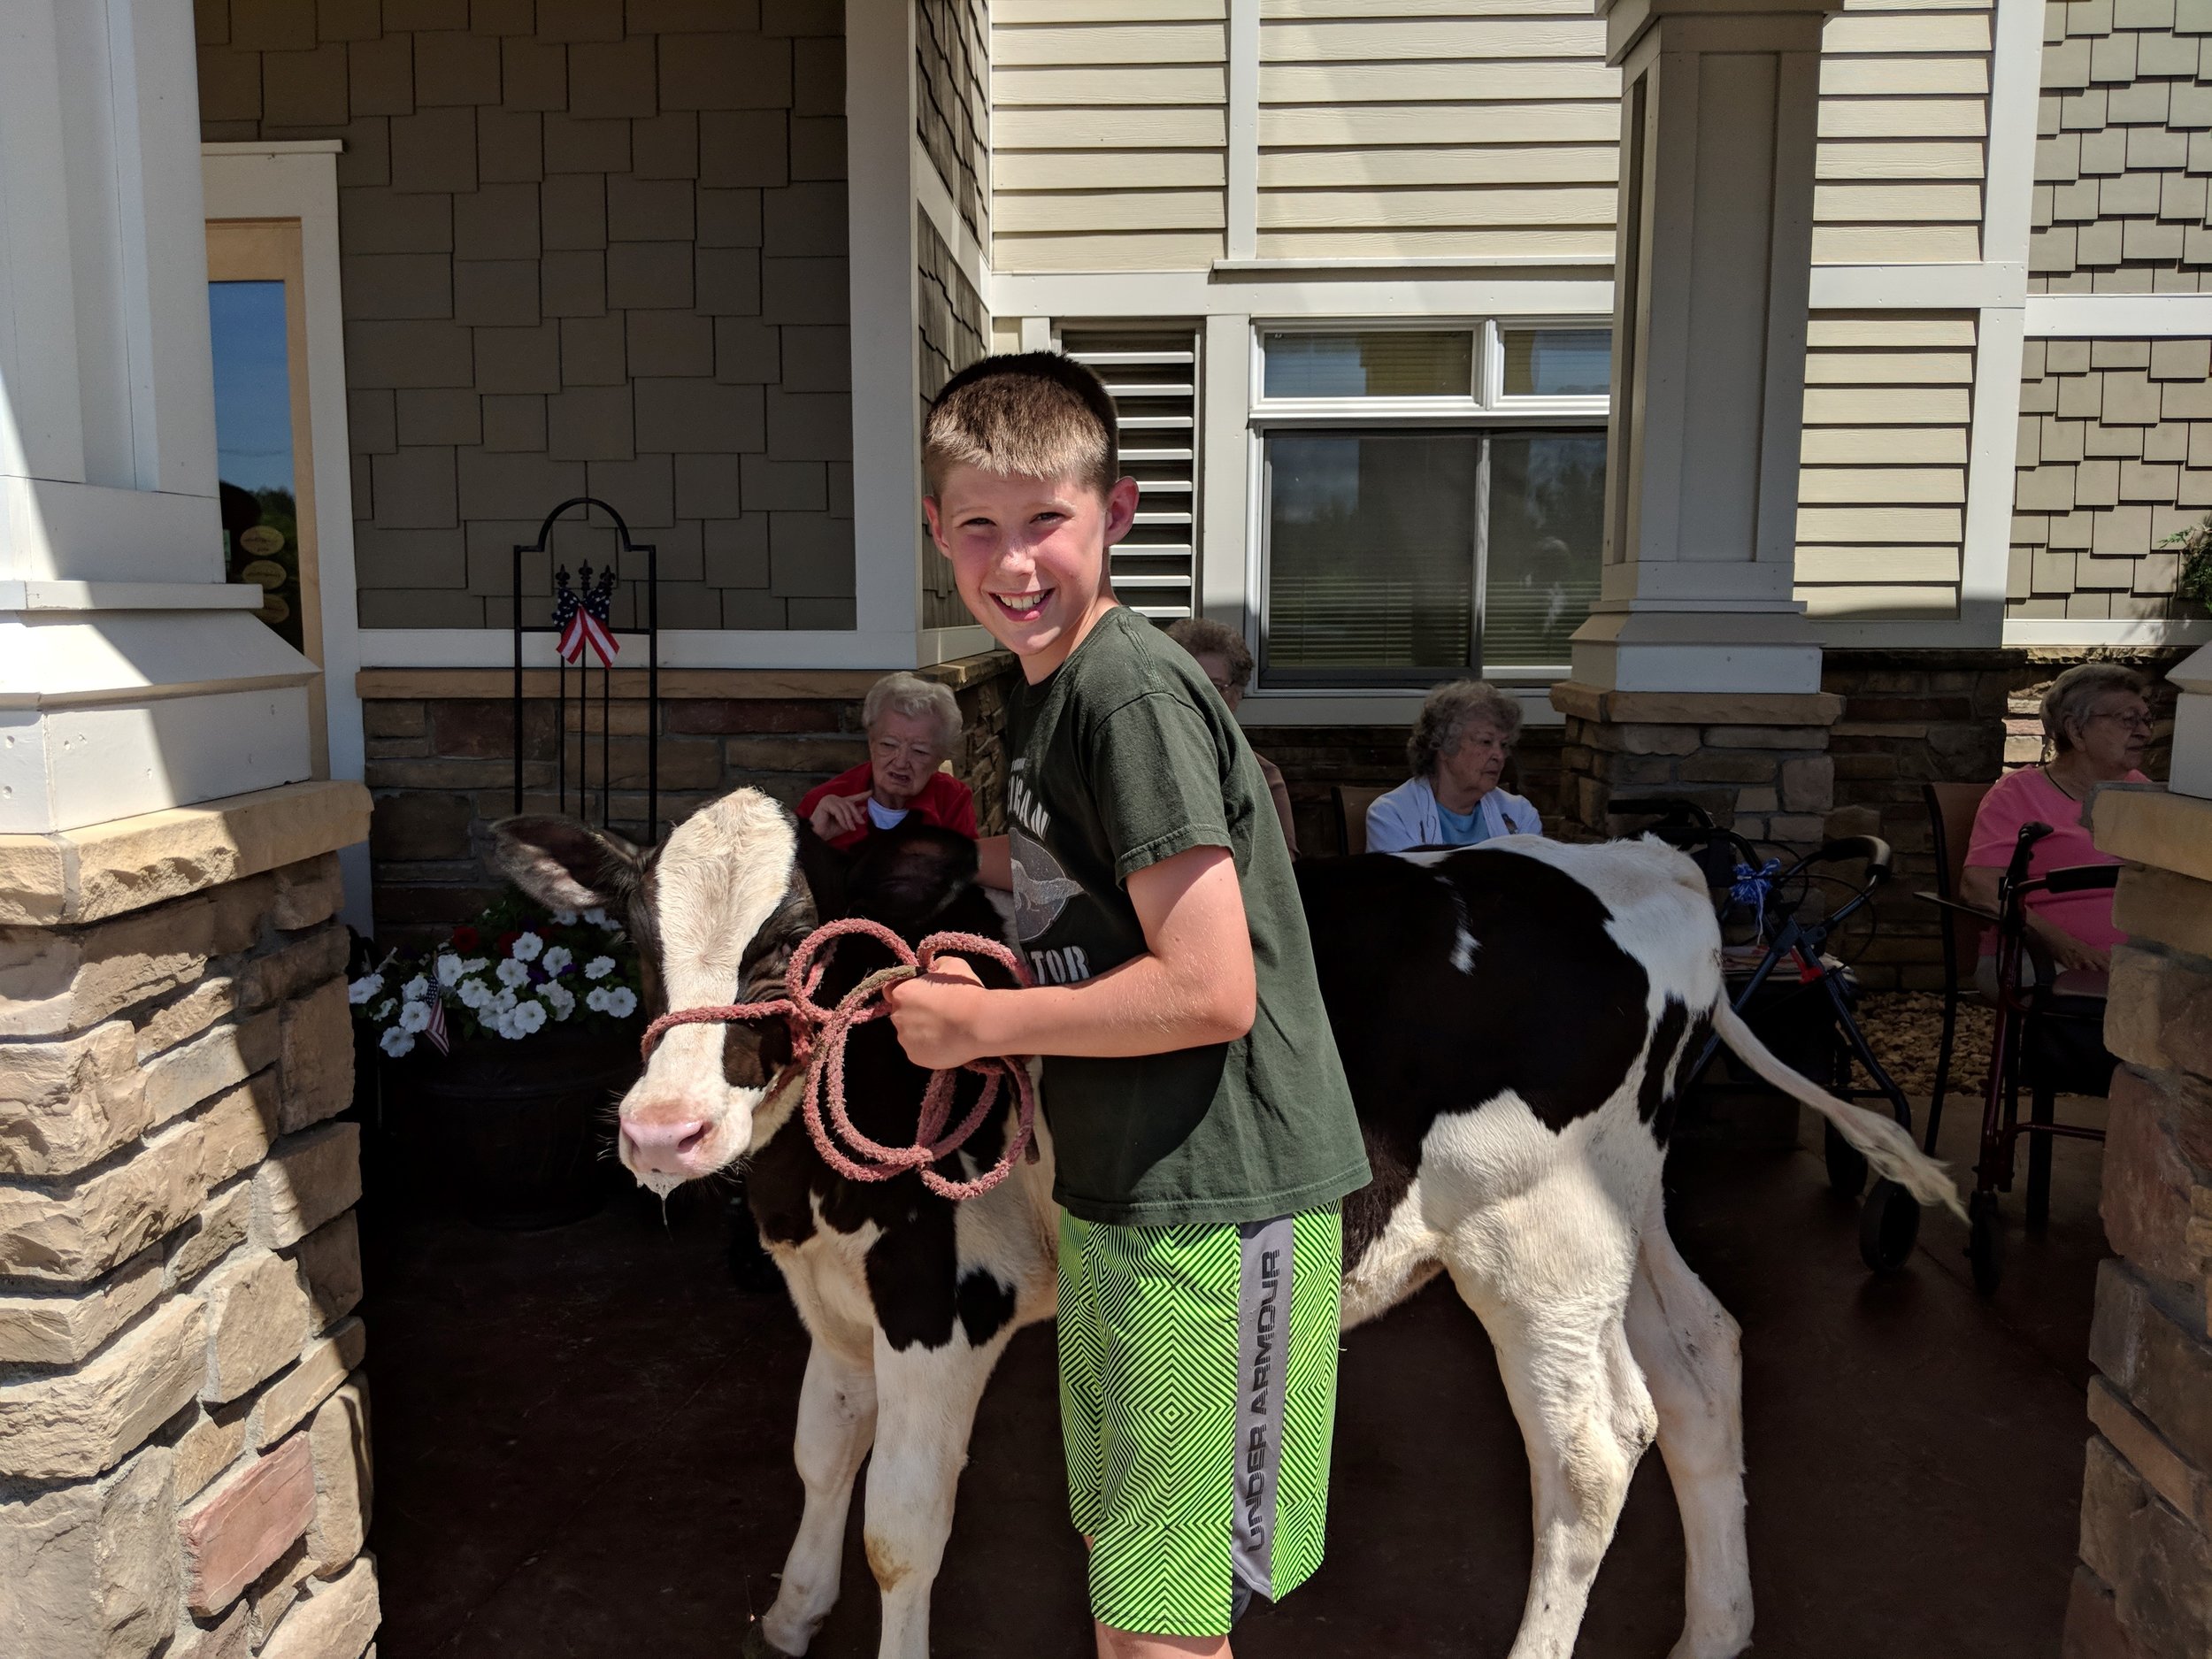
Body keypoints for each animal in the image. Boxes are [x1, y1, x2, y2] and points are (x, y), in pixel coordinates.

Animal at [493, 792, 1947, 1659]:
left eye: (800, 944)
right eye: (635, 938)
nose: (663, 1130)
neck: (814, 1182)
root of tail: (1643, 861)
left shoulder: (937, 1297)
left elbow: (900, 1520)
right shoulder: (836, 1296)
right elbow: (816, 1453)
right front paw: (791, 1613)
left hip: (1535, 1235)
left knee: (1594, 1446)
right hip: (1622, 1208)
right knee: (1703, 1368)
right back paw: (1713, 1629)